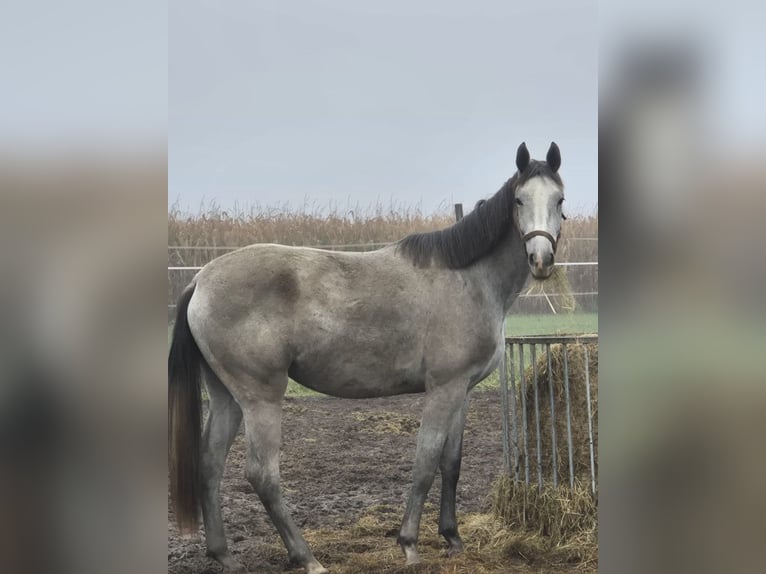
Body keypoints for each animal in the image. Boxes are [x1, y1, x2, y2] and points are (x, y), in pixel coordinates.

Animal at [169, 142, 566, 574]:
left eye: (559, 200)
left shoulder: (464, 391)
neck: (468, 278)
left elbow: (451, 463)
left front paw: (453, 538)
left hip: (226, 396)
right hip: (261, 398)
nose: (541, 259)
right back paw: (306, 557)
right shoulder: (443, 389)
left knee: (210, 463)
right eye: (519, 199)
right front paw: (409, 544)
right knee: (262, 475)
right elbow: (425, 463)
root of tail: (200, 279)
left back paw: (223, 554)